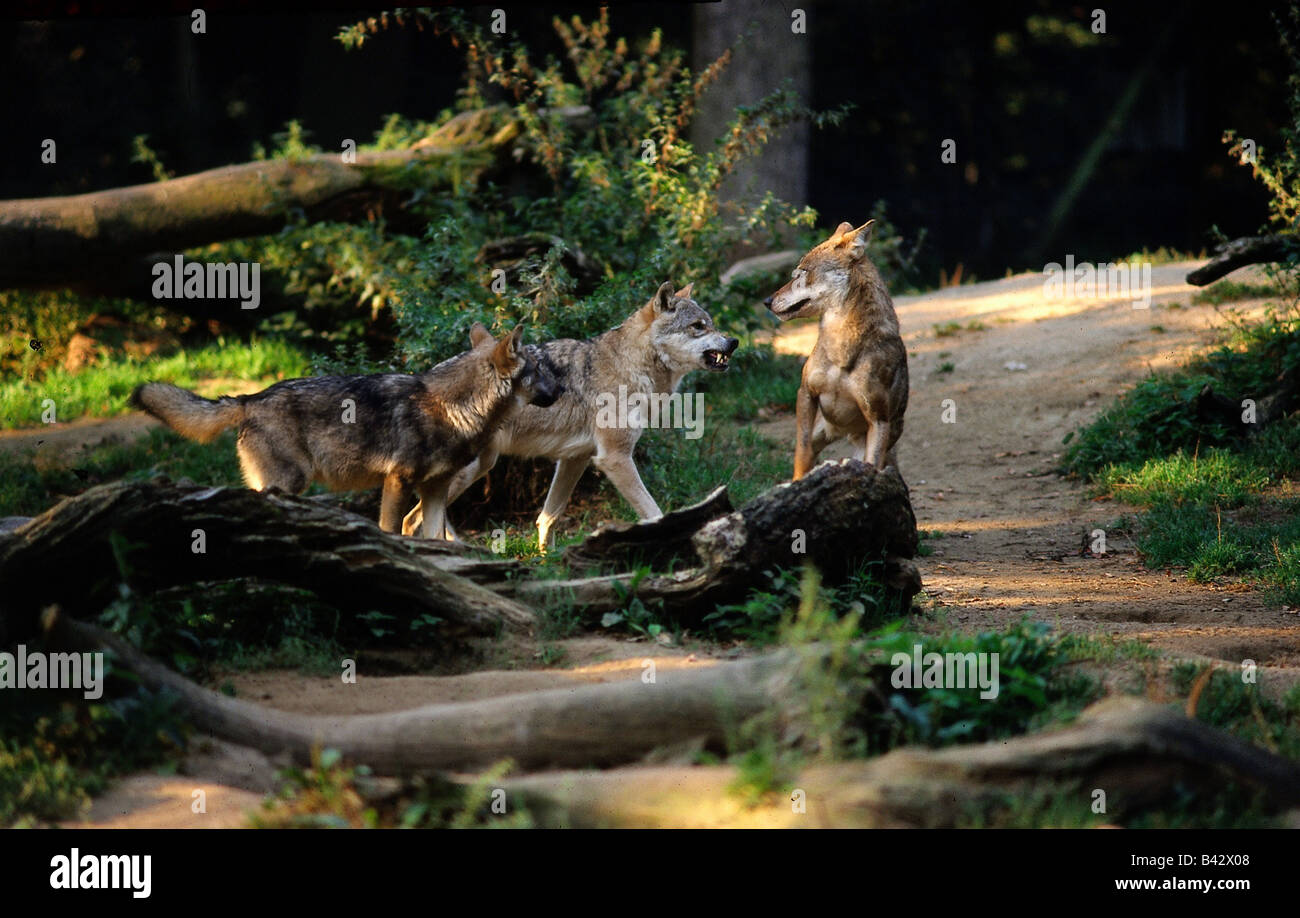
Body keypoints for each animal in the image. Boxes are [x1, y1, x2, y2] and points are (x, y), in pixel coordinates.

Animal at [130, 324, 560, 539]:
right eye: (541, 369)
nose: (562, 389)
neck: (454, 409)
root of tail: (250, 397)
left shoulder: (435, 490)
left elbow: (432, 535)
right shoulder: (398, 481)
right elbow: (392, 530)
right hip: (290, 483)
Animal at [403, 281, 738, 548]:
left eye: (710, 323)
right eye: (698, 326)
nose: (734, 341)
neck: (629, 366)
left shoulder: (575, 458)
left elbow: (548, 517)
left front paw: (547, 561)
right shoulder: (614, 458)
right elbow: (654, 513)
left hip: (481, 465)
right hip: (470, 469)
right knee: (412, 520)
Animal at [765, 220, 909, 479]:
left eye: (801, 272)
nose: (767, 301)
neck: (840, 348)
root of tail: (843, 432)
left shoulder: (879, 420)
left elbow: (872, 465)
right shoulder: (805, 394)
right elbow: (801, 452)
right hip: (822, 430)